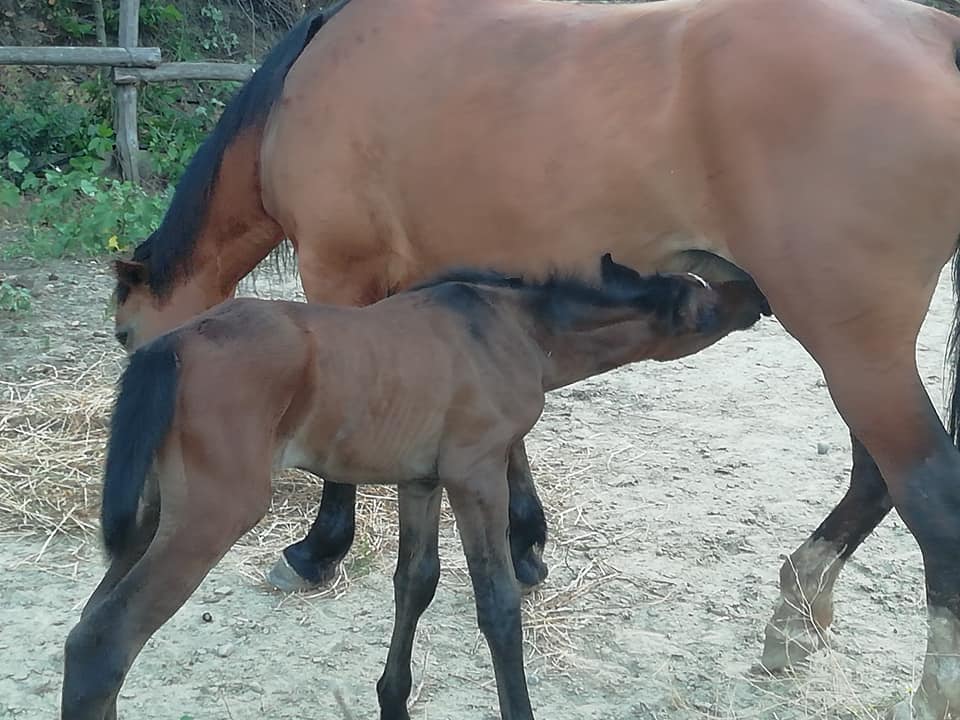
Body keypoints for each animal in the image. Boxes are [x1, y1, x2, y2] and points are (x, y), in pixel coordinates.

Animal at [64, 255, 768, 720]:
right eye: (704, 306)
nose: (757, 295)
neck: (511, 329)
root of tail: (167, 349)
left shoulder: (421, 481)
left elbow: (415, 583)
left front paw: (392, 701)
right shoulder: (476, 473)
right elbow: (498, 607)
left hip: (155, 518)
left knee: (84, 630)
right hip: (213, 516)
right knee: (105, 644)